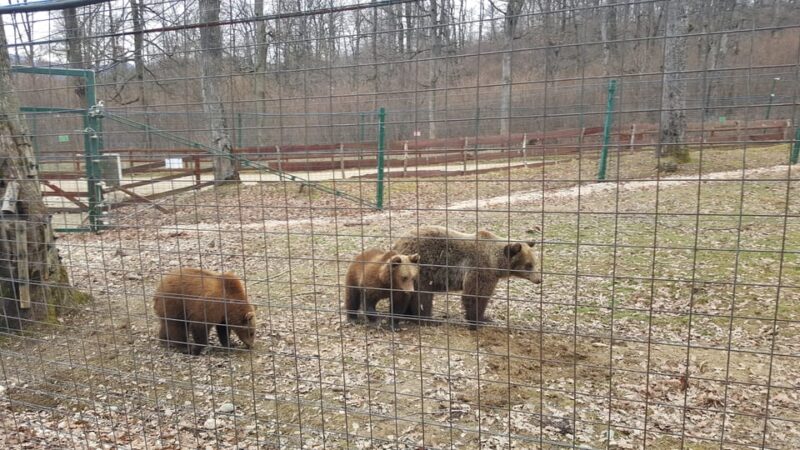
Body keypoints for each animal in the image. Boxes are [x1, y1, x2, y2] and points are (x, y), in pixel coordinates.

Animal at [391, 226, 542, 329]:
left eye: (535, 262)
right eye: (528, 265)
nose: (539, 279)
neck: (495, 262)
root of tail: (397, 243)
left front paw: (485, 318)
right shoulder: (481, 269)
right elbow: (475, 295)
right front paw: (479, 320)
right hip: (422, 269)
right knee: (423, 296)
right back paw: (428, 320)